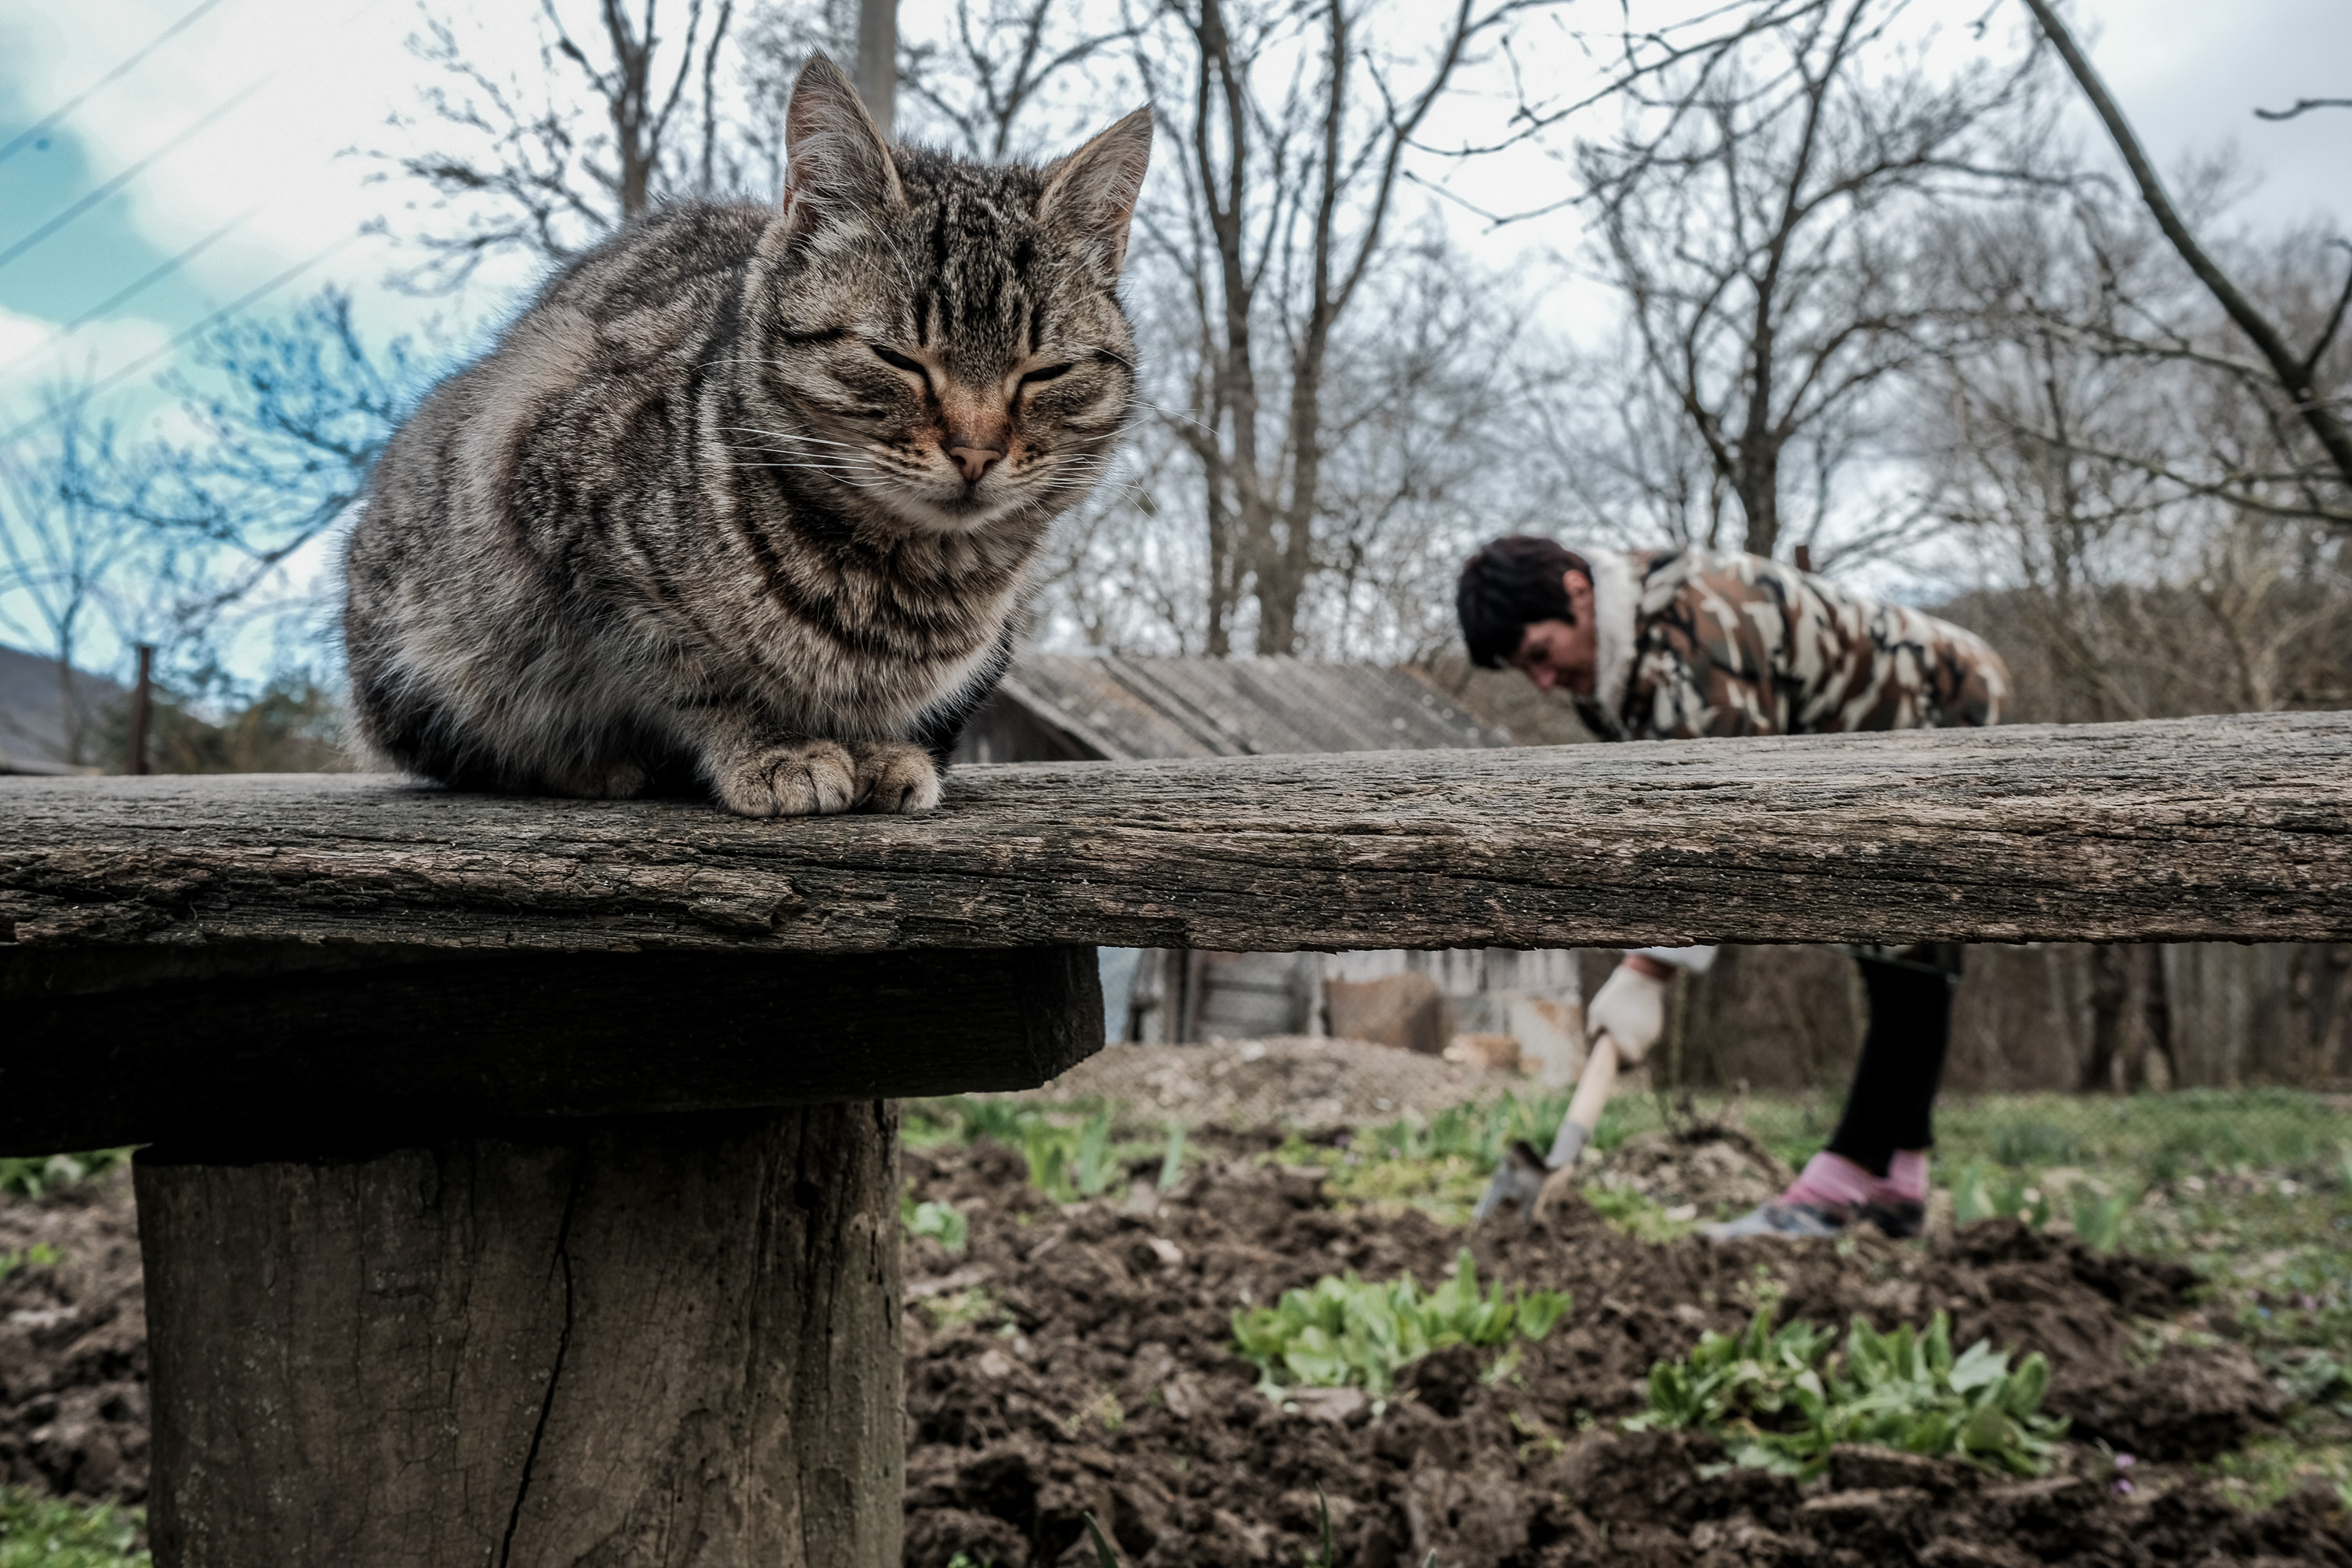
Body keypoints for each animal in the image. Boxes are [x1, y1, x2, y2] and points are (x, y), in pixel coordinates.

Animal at [343, 55, 1152, 818]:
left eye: (1044, 372)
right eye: (896, 358)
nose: (977, 451)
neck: (910, 585)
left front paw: (882, 751)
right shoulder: (582, 538)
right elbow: (699, 676)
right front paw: (776, 748)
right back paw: (593, 767)